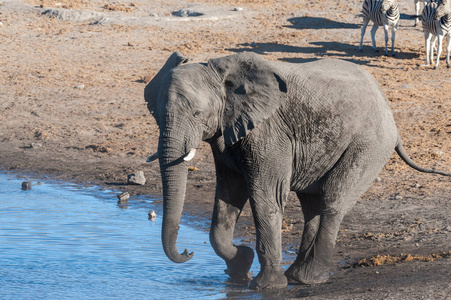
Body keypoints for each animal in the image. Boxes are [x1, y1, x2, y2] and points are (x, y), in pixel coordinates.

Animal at [143, 51, 450, 288]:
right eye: (155, 114)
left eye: (197, 114)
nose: (188, 251)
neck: (220, 71)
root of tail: (391, 115)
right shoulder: (228, 133)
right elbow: (228, 197)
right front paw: (241, 267)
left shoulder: (269, 133)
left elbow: (265, 197)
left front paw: (265, 286)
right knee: (312, 205)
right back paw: (296, 275)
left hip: (369, 144)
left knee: (334, 201)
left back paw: (308, 278)